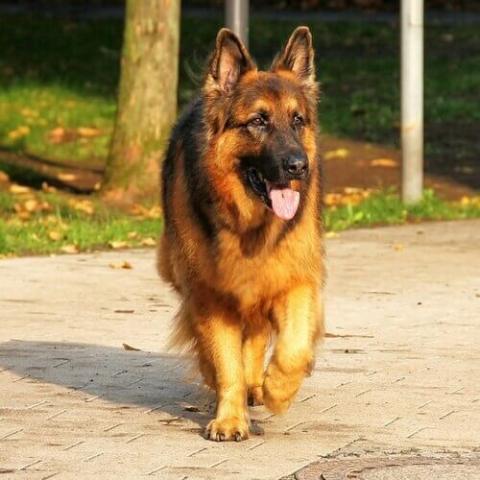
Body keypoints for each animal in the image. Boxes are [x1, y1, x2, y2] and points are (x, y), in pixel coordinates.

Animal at [159, 24, 324, 440]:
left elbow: (293, 349)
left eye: (297, 120)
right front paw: (230, 418)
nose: (298, 166)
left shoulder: (295, 279)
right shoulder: (210, 294)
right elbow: (226, 362)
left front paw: (276, 389)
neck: (249, 226)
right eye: (258, 121)